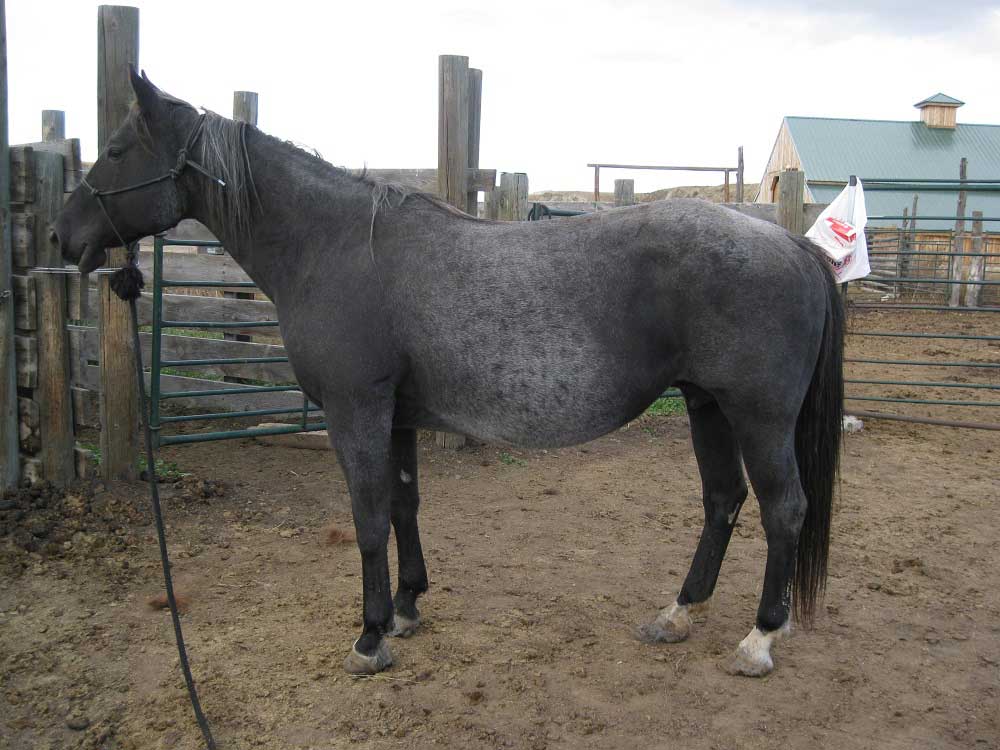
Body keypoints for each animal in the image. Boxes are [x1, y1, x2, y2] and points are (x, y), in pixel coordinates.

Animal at [52, 70, 844, 680]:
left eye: (117, 149)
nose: (63, 235)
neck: (337, 247)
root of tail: (791, 245)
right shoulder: (397, 415)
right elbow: (405, 504)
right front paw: (406, 608)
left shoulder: (357, 410)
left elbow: (369, 515)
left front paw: (370, 636)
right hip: (707, 404)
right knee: (723, 501)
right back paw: (678, 613)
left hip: (757, 414)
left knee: (783, 509)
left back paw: (758, 639)